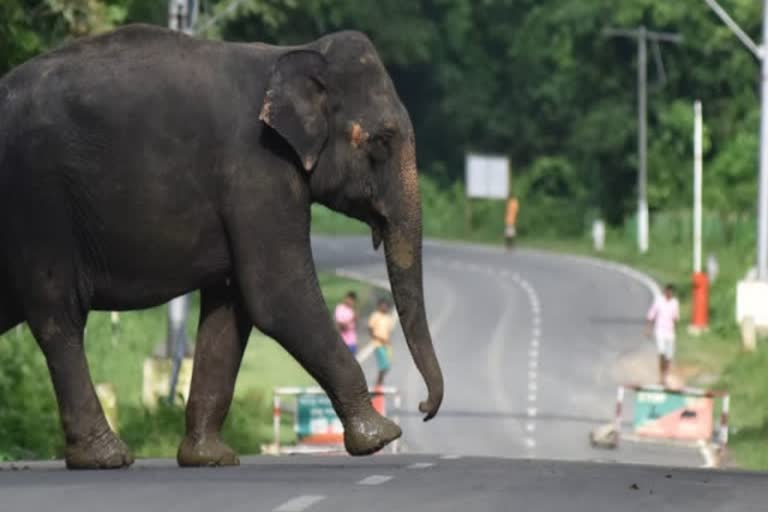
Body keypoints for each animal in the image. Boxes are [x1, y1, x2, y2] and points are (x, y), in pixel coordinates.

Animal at [0, 26, 444, 470]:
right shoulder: (257, 168)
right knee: (59, 315)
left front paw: (209, 457)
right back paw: (106, 457)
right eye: (381, 142)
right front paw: (381, 436)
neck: (296, 53)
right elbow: (278, 296)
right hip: (39, 202)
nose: (424, 409)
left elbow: (232, 306)